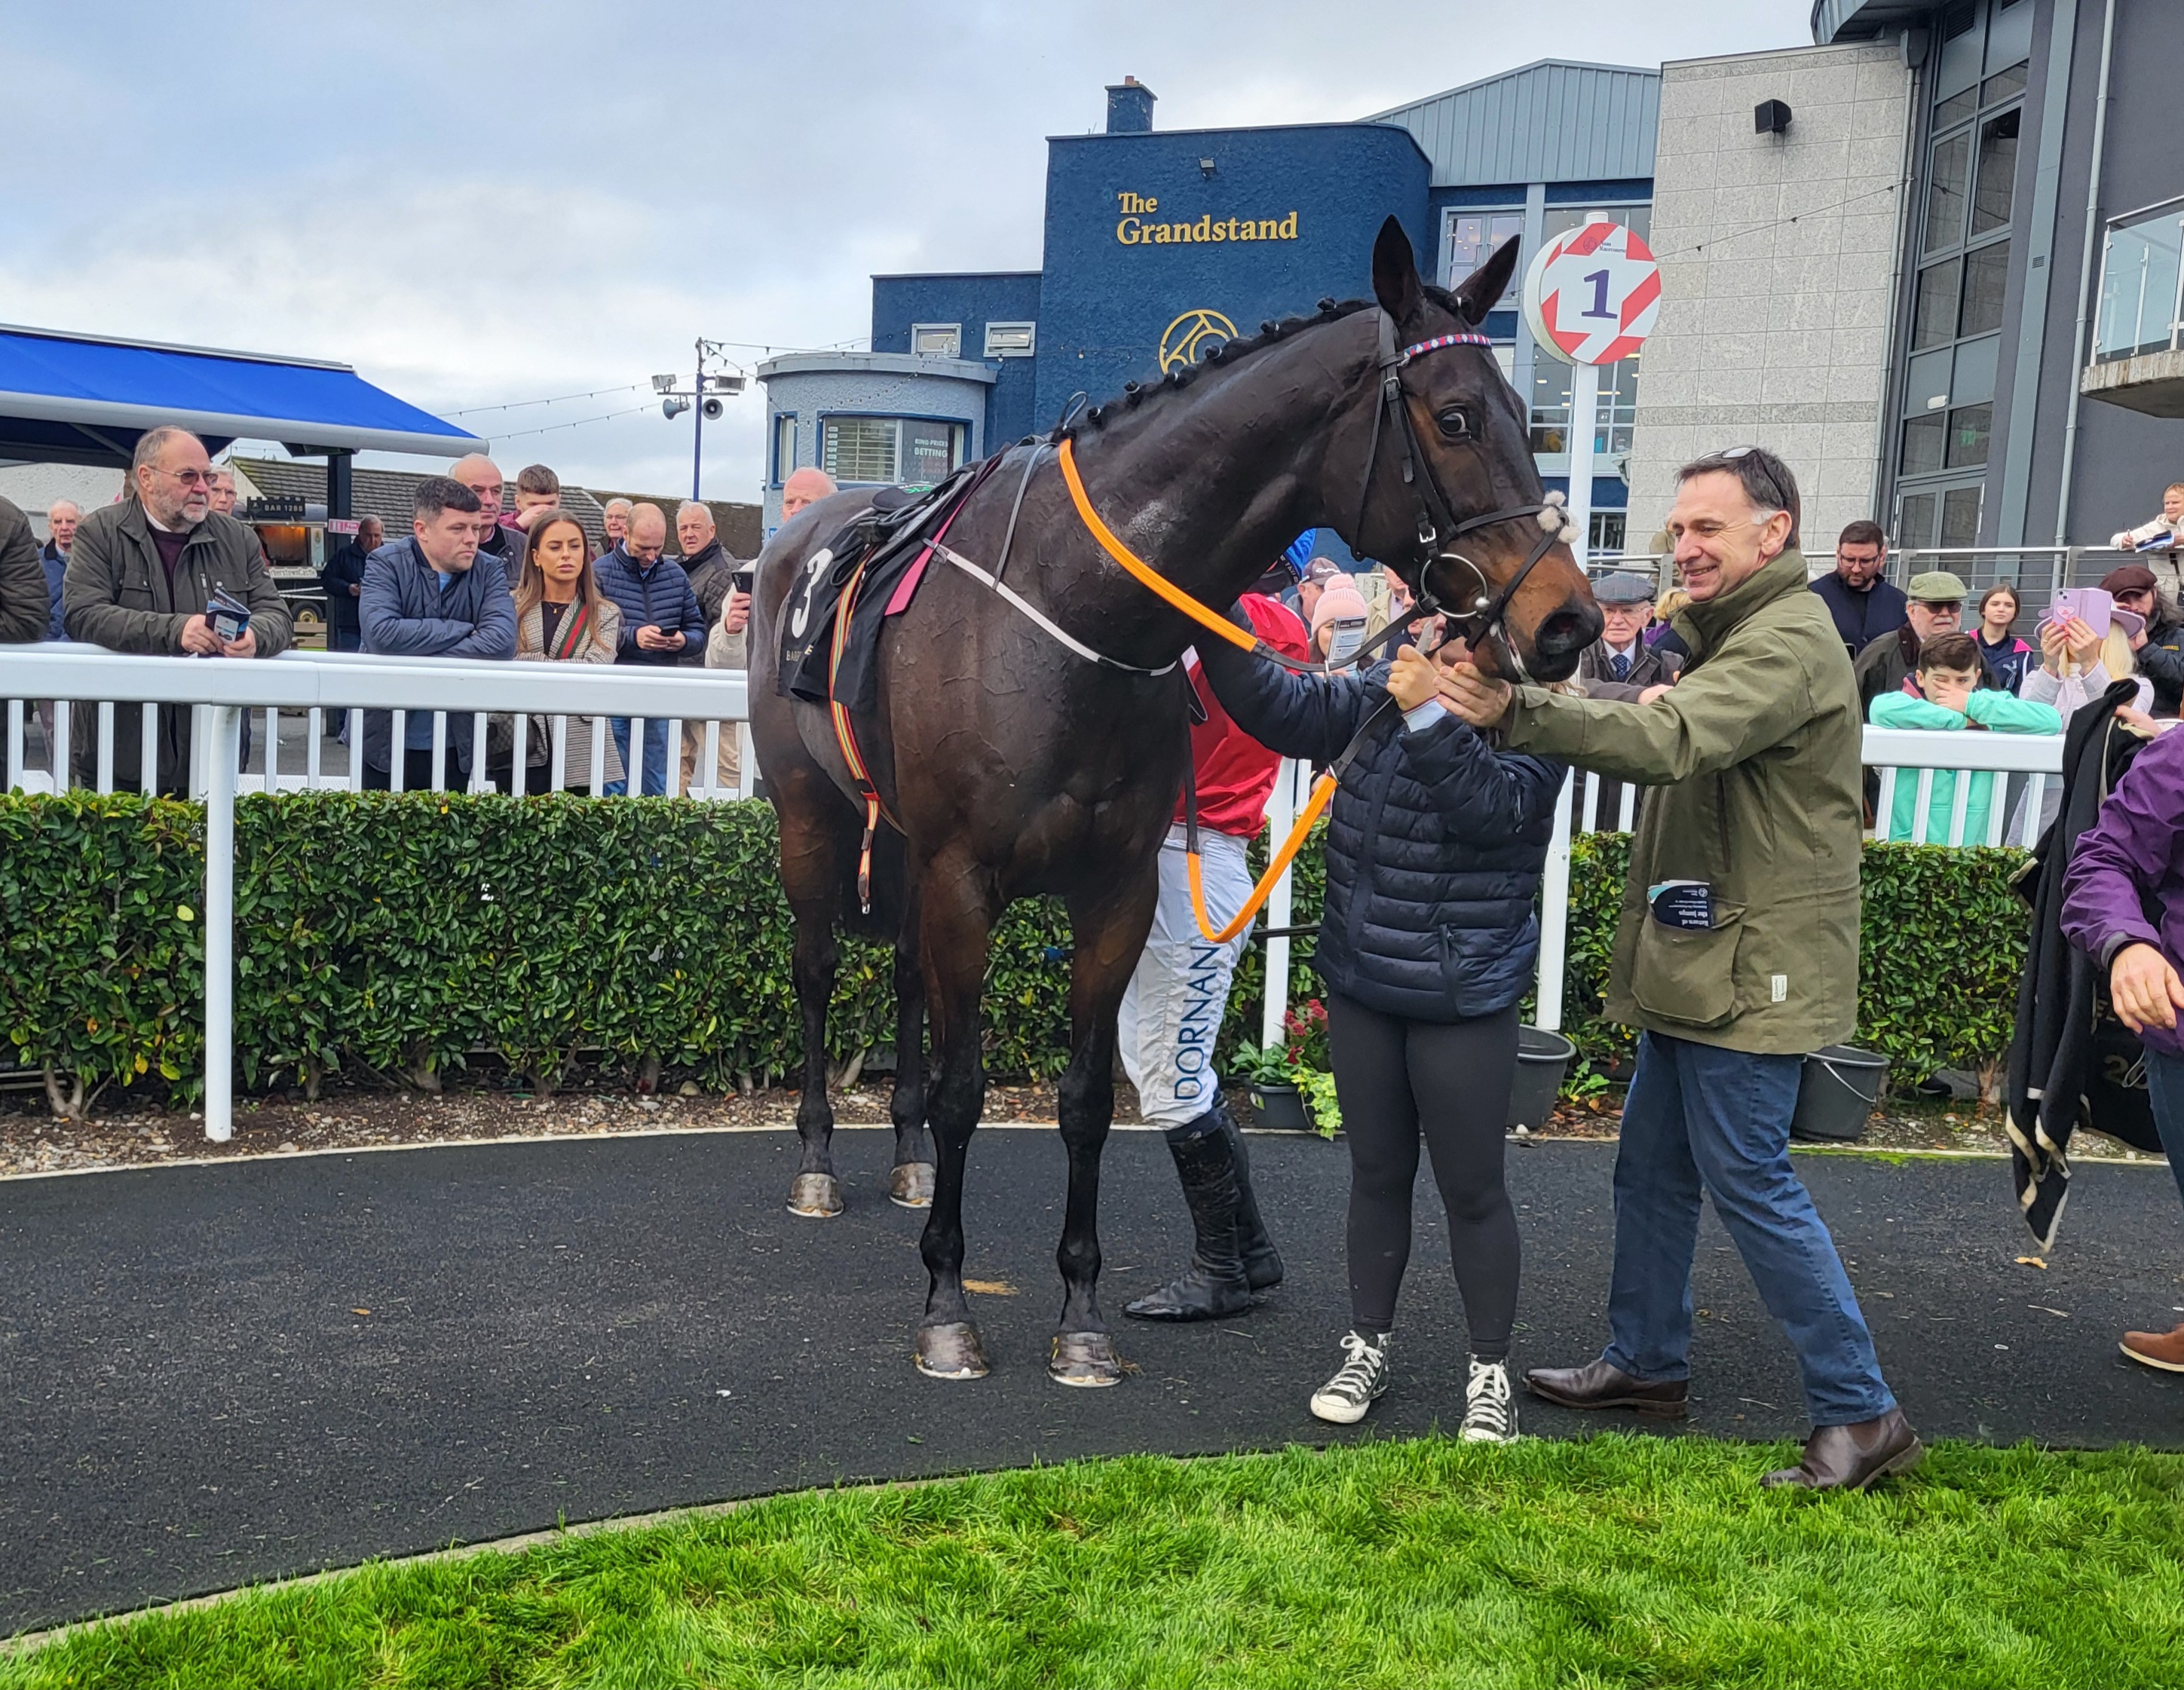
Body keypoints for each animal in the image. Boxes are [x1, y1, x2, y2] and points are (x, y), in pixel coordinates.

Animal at [755, 218, 1607, 1388]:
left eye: (1533, 418)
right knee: (816, 969)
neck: (1069, 609)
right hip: (812, 821)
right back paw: (816, 1161)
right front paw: (947, 1305)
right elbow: (974, 1091)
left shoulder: (1109, 889)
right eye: (1456, 417)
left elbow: (1083, 1101)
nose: (1570, 620)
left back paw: (911, 1158)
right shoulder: (964, 878)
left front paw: (1079, 1315)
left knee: (906, 984)